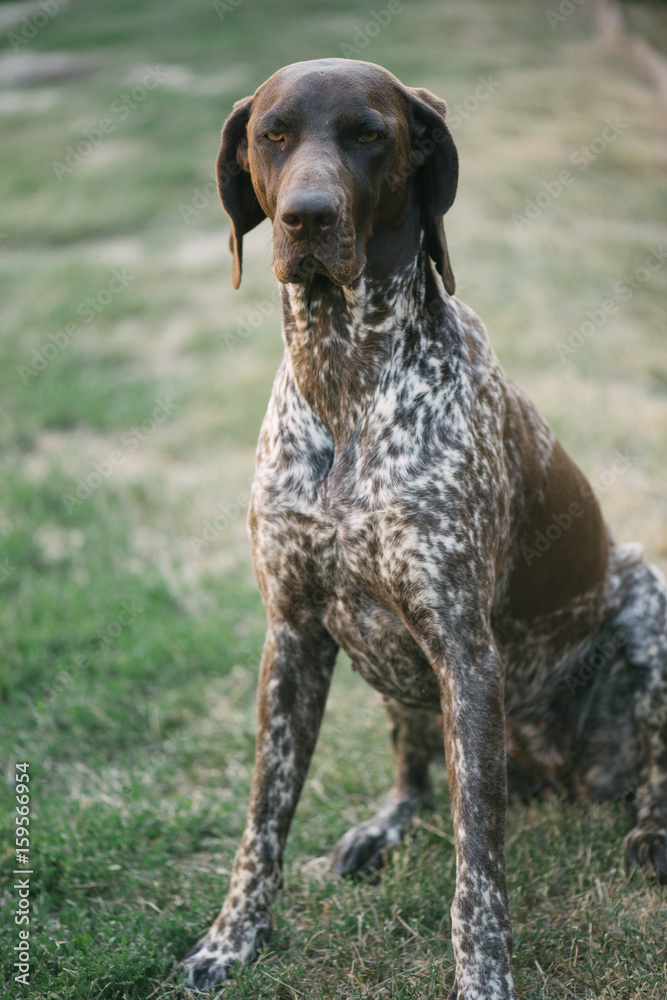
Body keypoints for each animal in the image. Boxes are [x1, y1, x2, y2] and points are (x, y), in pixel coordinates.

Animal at [183, 58, 667, 996]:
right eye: (273, 134)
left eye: (369, 133)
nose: (306, 218)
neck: (346, 372)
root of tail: (556, 773)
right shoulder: (291, 638)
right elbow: (263, 818)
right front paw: (231, 939)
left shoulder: (462, 652)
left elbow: (477, 868)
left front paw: (483, 979)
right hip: (393, 680)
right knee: (412, 780)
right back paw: (378, 830)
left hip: (643, 599)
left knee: (647, 770)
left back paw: (650, 830)